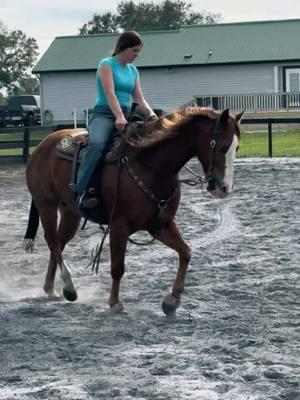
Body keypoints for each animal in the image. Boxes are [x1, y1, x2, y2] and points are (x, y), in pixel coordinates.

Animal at [24, 108, 244, 314]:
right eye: (222, 146)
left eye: (237, 147)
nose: (224, 188)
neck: (151, 166)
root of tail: (42, 146)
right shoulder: (118, 226)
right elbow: (117, 267)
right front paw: (114, 302)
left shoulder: (161, 224)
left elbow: (185, 252)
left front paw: (172, 300)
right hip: (47, 205)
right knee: (53, 242)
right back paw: (69, 286)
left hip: (71, 212)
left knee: (59, 243)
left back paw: (50, 288)